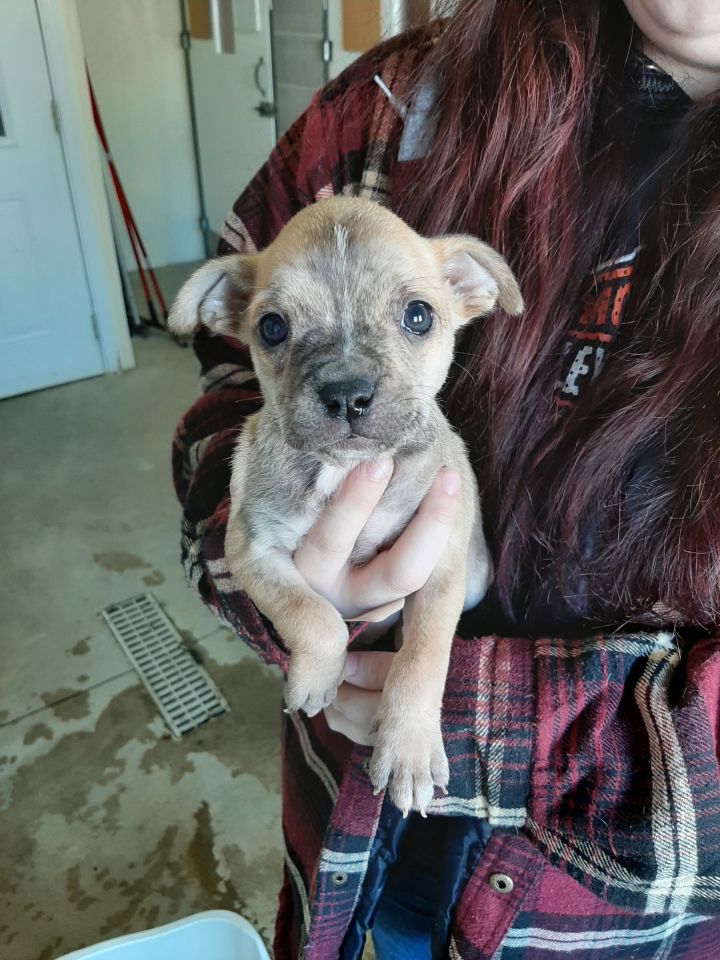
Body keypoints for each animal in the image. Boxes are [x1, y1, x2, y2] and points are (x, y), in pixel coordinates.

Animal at [170, 199, 524, 812]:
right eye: (272, 327)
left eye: (418, 316)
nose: (346, 393)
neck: (346, 471)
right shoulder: (251, 549)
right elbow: (312, 617)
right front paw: (316, 677)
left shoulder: (441, 570)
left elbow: (422, 656)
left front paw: (407, 748)